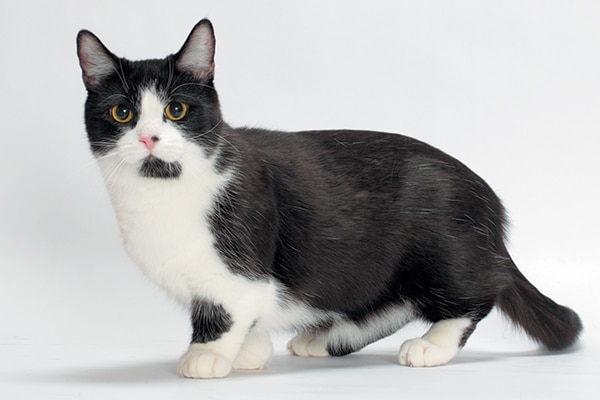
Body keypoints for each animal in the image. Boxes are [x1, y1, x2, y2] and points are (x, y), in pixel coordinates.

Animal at [75, 20, 580, 380]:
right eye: (122, 112)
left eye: (176, 110)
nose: (148, 138)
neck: (163, 192)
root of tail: (490, 202)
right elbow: (250, 313)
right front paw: (251, 351)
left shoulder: (239, 263)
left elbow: (225, 310)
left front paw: (208, 354)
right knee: (390, 303)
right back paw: (324, 338)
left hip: (443, 246)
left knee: (475, 293)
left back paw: (432, 345)